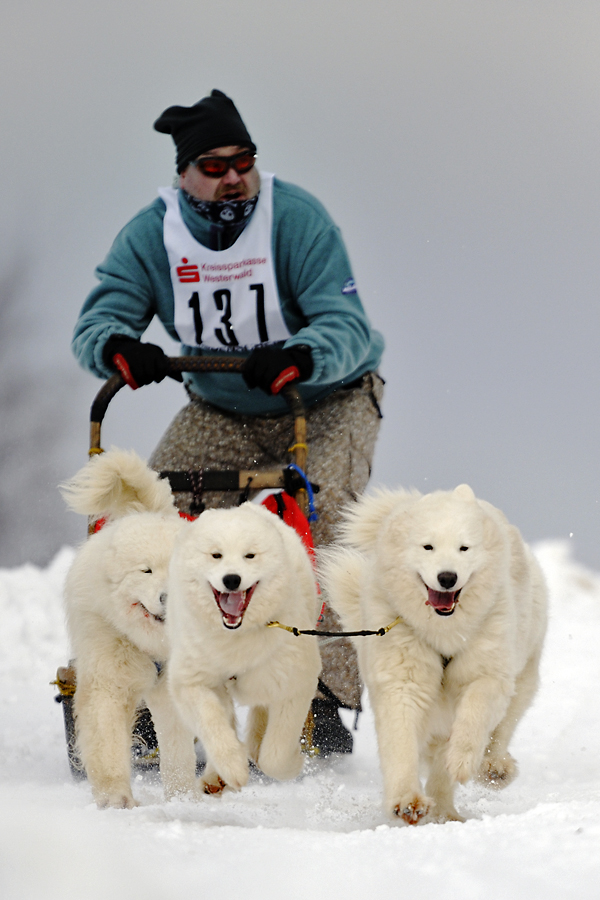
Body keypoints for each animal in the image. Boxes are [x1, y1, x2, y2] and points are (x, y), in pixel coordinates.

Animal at [61, 450, 197, 808]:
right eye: (145, 571)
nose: (166, 597)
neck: (153, 647)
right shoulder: (108, 678)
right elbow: (107, 742)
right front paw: (116, 799)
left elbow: (178, 751)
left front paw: (184, 800)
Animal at [166, 506, 322, 796]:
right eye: (216, 555)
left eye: (250, 555)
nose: (231, 579)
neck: (236, 638)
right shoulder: (190, 681)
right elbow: (212, 724)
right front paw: (233, 769)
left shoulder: (296, 681)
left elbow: (276, 754)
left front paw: (293, 763)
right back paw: (215, 777)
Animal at [318, 486, 548, 824]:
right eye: (427, 546)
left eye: (464, 548)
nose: (447, 577)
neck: (442, 633)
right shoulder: (402, 677)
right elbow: (400, 743)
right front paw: (406, 801)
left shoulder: (487, 672)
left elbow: (475, 715)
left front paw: (462, 762)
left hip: (523, 676)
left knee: (501, 730)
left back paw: (489, 772)